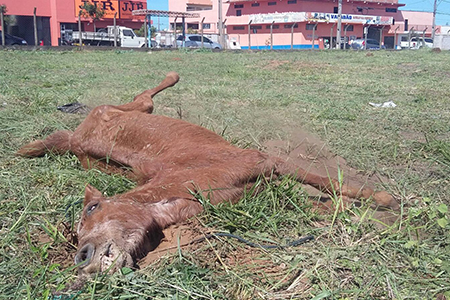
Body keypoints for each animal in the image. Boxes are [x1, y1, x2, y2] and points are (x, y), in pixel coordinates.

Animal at [18, 71, 398, 276]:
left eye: (92, 207)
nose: (82, 257)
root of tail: (77, 134)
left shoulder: (265, 160)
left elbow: (329, 183)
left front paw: (385, 201)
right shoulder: (261, 188)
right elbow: (322, 204)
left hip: (125, 109)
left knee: (143, 97)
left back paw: (173, 76)